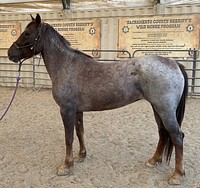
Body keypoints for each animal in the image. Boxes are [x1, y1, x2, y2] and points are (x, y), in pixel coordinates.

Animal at [7, 13, 188, 184]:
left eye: (27, 33)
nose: (10, 53)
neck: (67, 66)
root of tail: (174, 63)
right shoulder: (77, 111)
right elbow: (79, 132)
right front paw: (81, 156)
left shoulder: (66, 110)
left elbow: (68, 138)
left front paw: (66, 166)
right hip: (157, 108)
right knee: (163, 133)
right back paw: (153, 160)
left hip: (165, 110)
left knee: (177, 136)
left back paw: (177, 175)